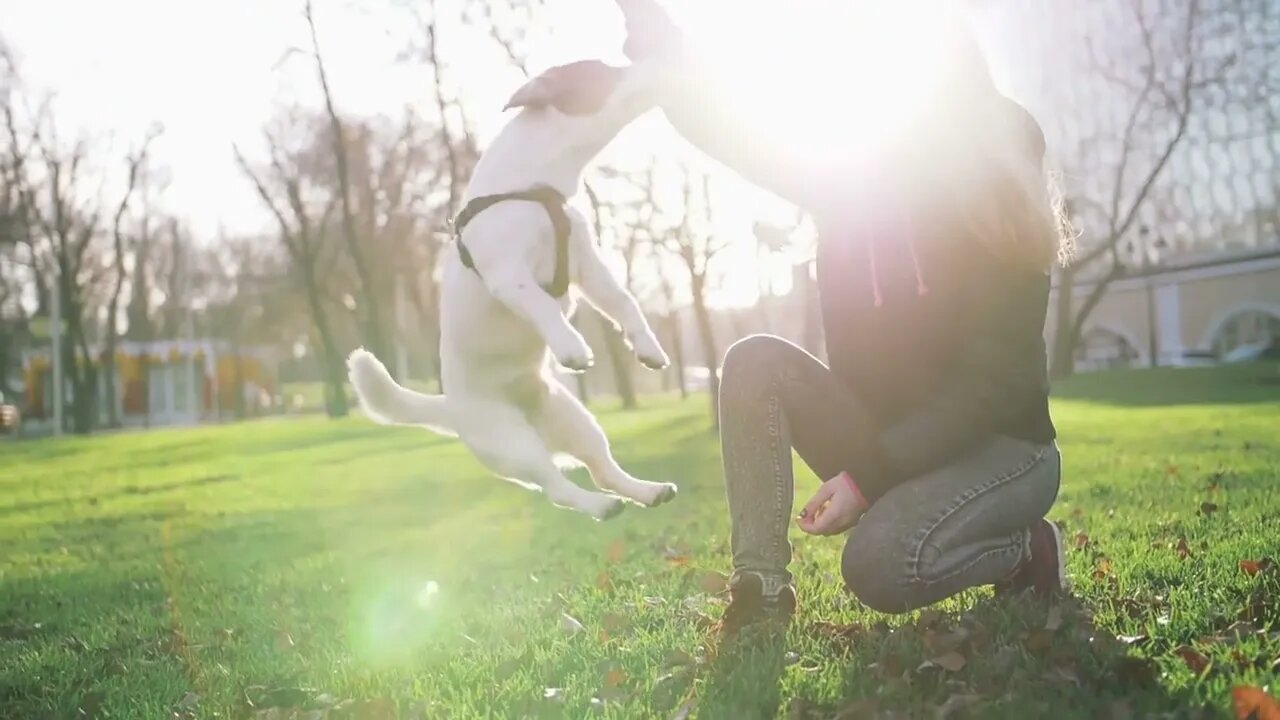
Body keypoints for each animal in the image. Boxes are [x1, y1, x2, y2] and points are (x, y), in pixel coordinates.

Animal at [345, 56, 675, 515]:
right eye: (605, 70)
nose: (657, 59)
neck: (533, 186)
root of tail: (451, 409)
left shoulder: (588, 266)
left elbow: (624, 303)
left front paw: (649, 348)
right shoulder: (508, 275)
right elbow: (543, 305)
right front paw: (570, 345)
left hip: (575, 420)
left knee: (602, 468)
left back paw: (646, 491)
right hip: (513, 443)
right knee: (557, 487)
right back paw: (599, 506)